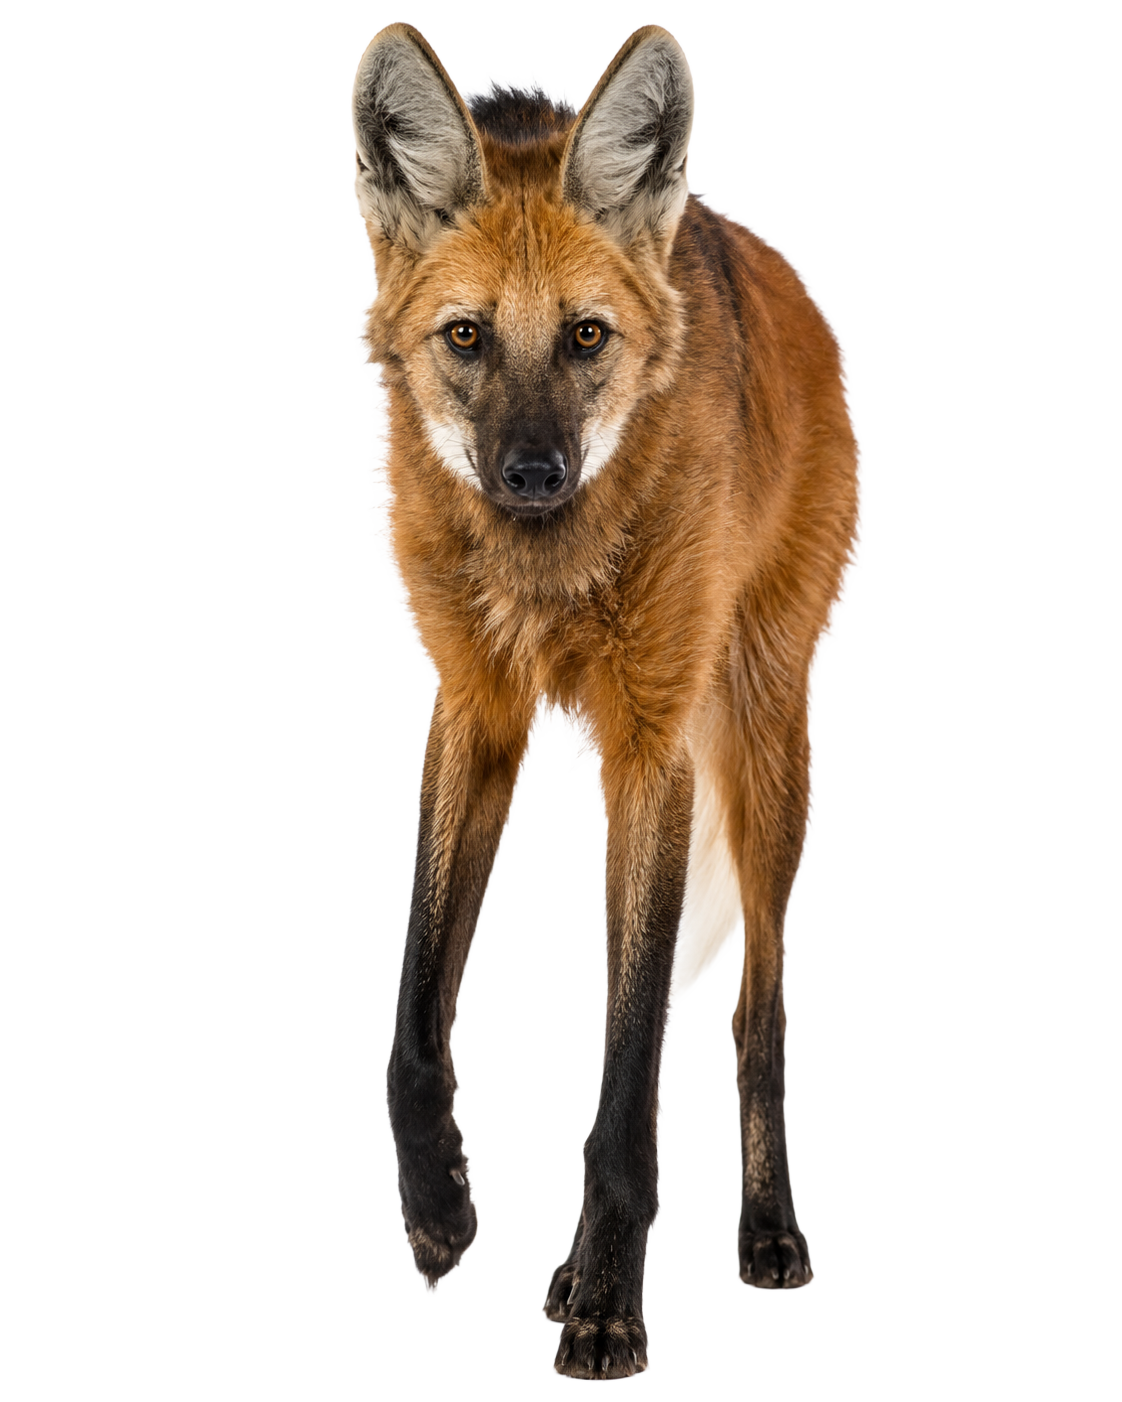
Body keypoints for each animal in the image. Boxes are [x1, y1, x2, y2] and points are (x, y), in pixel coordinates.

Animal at [352, 23, 859, 1379]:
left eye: (585, 338)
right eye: (467, 338)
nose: (533, 471)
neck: (548, 574)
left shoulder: (654, 745)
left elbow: (630, 1080)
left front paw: (611, 1308)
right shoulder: (472, 706)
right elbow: (414, 1020)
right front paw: (440, 1206)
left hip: (763, 751)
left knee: (754, 1014)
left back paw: (763, 1232)